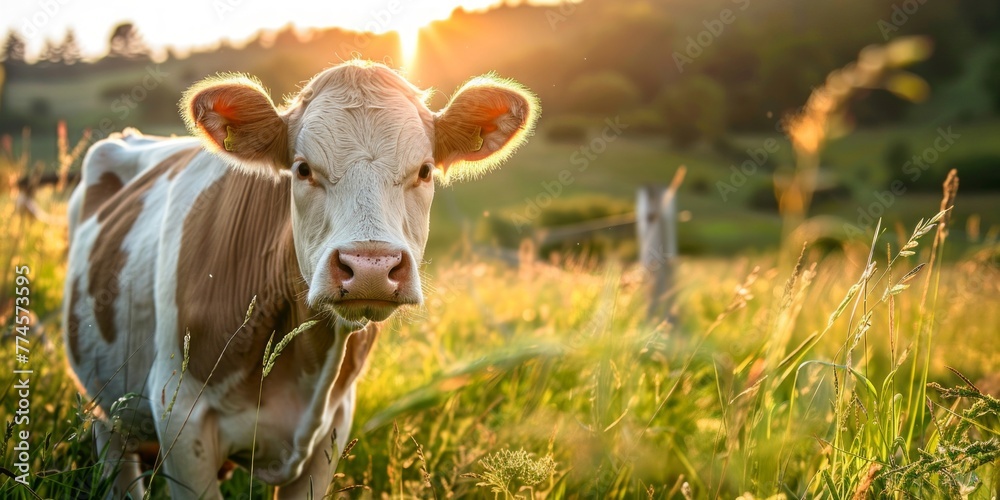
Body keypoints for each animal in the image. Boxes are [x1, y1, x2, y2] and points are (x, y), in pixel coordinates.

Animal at [64, 60, 540, 498]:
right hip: (106, 413)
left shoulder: (331, 430)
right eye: (303, 168)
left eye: (424, 170)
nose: (370, 267)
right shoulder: (179, 418)